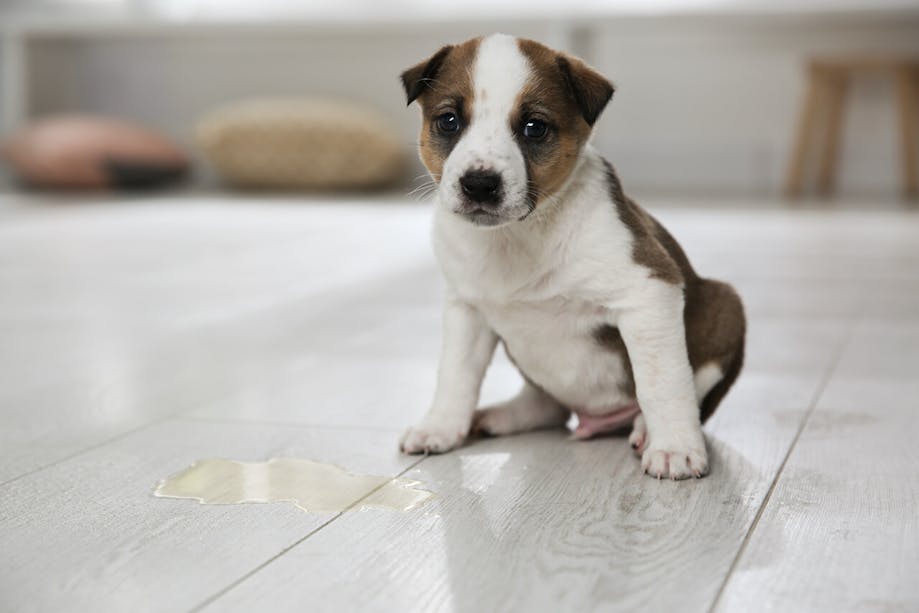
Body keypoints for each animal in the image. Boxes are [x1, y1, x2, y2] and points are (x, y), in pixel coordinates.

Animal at [398, 35, 744, 480]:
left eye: (534, 127)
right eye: (449, 121)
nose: (479, 184)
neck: (517, 236)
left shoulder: (651, 291)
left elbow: (662, 381)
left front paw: (676, 449)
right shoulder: (467, 310)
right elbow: (456, 375)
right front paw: (440, 427)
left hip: (725, 303)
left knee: (691, 388)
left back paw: (645, 429)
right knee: (548, 405)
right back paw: (501, 416)